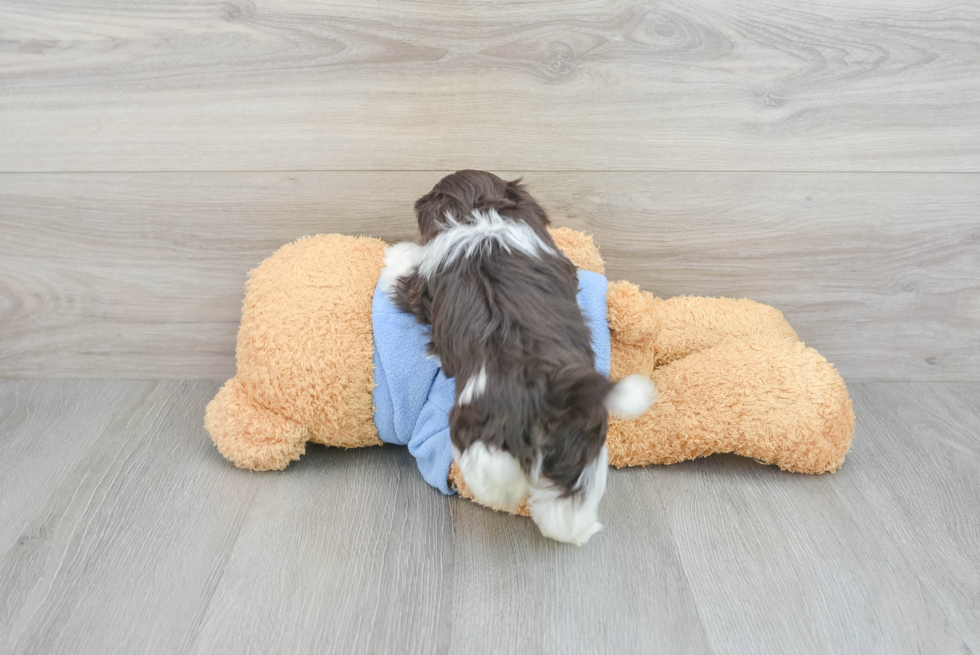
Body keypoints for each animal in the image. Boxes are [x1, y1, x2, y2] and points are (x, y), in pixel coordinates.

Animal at [378, 169, 656, 544]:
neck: (482, 214)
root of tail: (552, 387)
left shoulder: (420, 285)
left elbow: (406, 267)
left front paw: (398, 252)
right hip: (581, 442)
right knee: (572, 497)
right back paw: (573, 528)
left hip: (479, 423)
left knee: (491, 468)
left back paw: (501, 490)